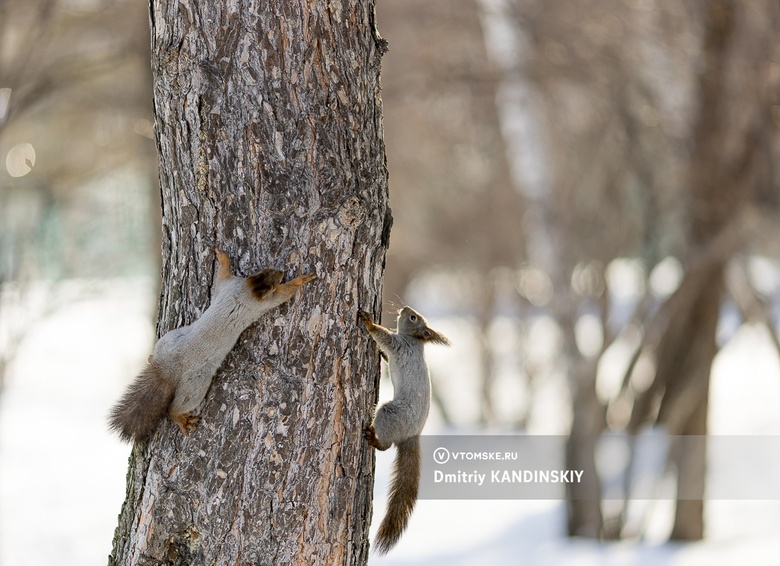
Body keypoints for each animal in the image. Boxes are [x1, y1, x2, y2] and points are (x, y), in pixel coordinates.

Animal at [108, 251, 316, 446]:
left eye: (268, 270)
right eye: (273, 280)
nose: (281, 272)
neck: (247, 289)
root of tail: (166, 368)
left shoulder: (228, 285)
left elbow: (221, 276)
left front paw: (221, 256)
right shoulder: (262, 302)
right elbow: (283, 295)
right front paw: (301, 280)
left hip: (169, 338)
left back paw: (151, 359)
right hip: (195, 386)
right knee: (175, 408)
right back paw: (180, 418)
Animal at [356, 306, 448, 556]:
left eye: (413, 318)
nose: (404, 309)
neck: (413, 340)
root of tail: (413, 435)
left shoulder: (398, 344)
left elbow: (382, 336)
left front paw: (368, 322)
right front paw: (380, 354)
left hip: (390, 413)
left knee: (386, 445)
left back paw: (374, 439)